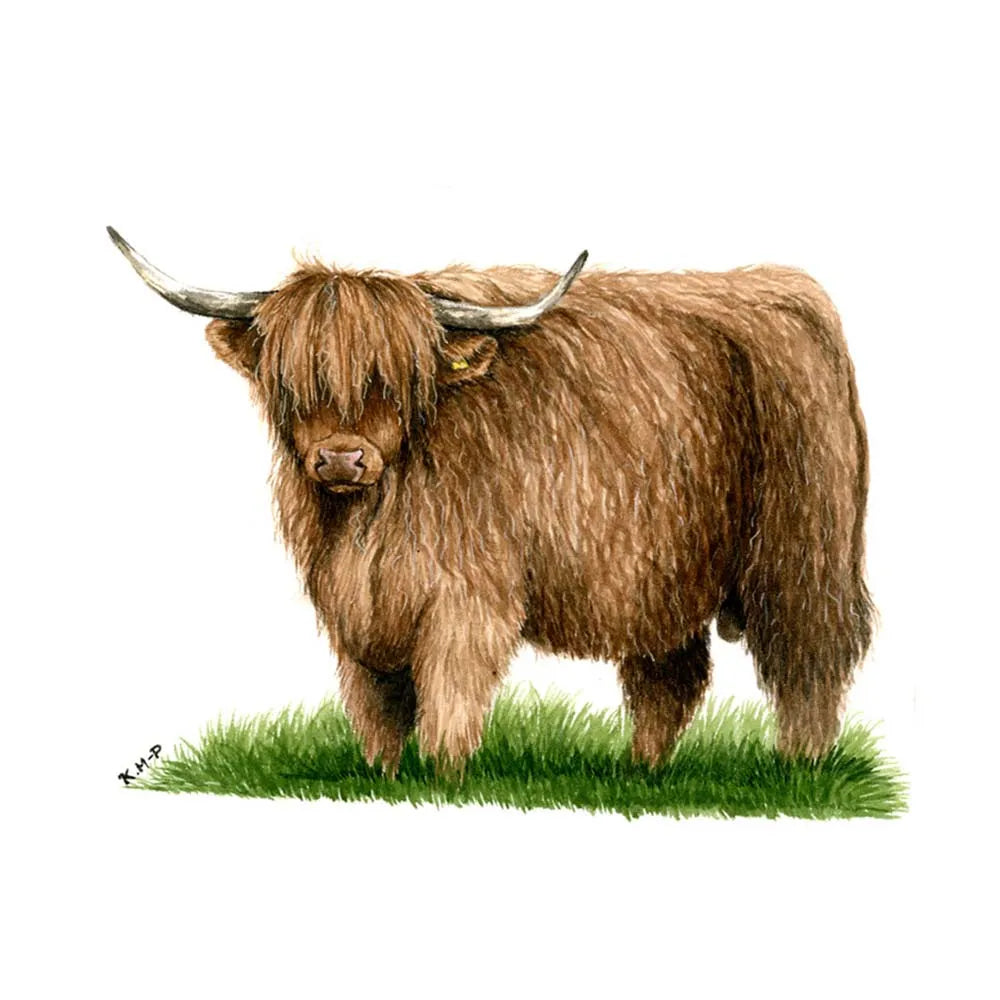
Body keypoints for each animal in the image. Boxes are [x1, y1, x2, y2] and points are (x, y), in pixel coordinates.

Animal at [108, 227, 874, 775]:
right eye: (293, 380)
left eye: (396, 379)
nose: (342, 458)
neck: (371, 520)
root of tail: (785, 288)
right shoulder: (354, 609)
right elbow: (377, 713)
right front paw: (385, 779)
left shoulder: (467, 601)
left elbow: (447, 708)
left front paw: (446, 782)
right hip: (662, 575)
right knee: (672, 678)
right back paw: (642, 773)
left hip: (800, 551)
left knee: (809, 661)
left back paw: (799, 769)